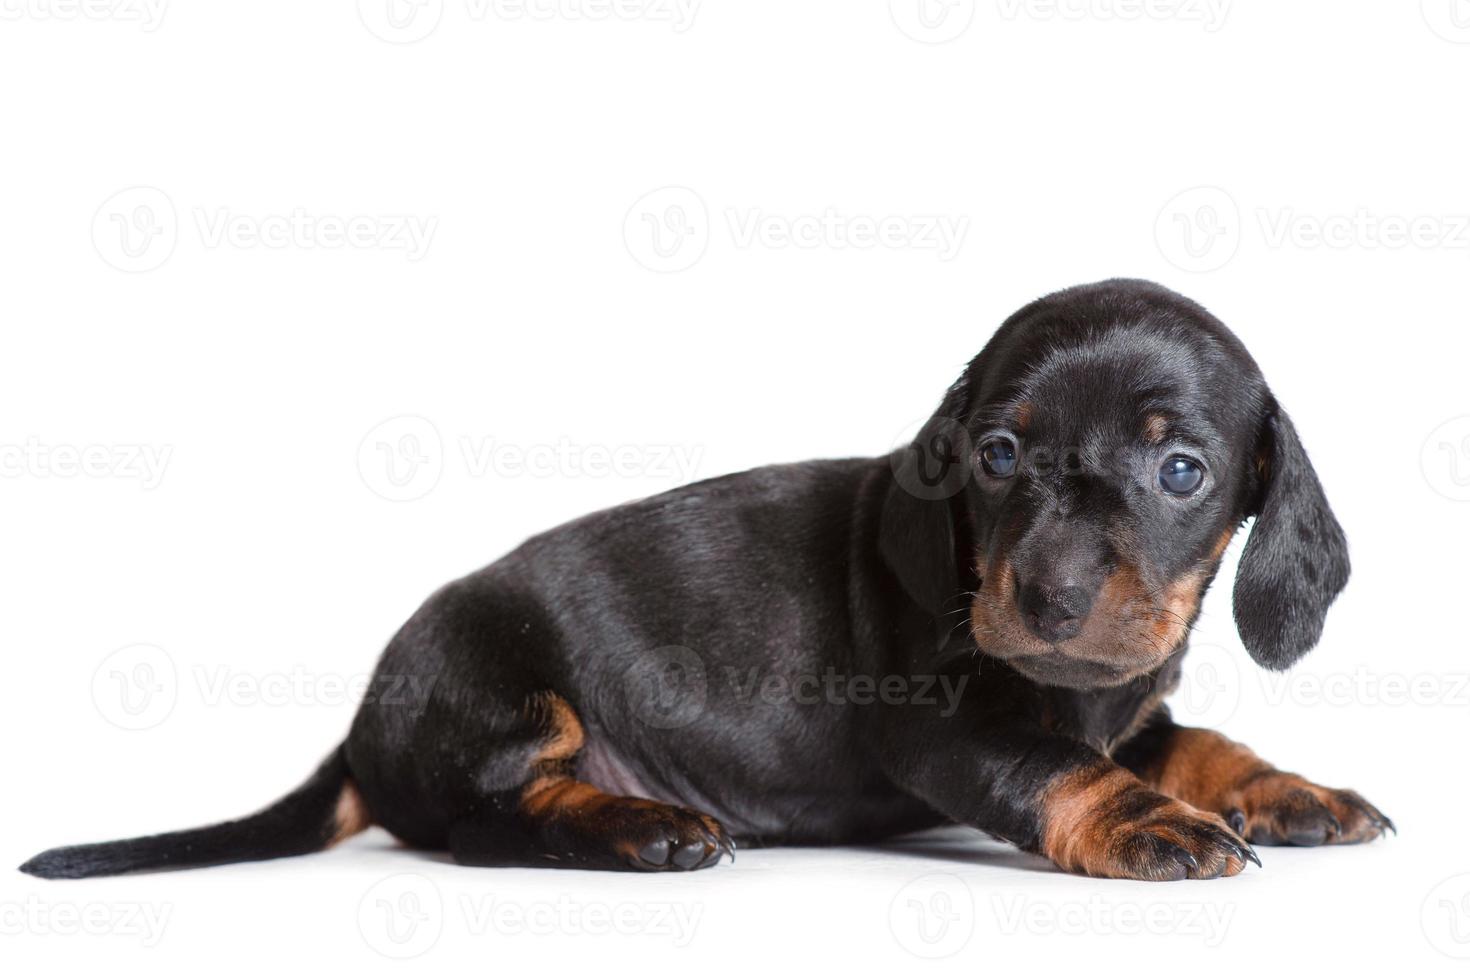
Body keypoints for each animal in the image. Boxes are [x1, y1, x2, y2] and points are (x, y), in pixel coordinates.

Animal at [22, 276, 1387, 881]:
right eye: (997, 453)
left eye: (1180, 468)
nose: (1044, 599)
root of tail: (359, 729)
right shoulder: (948, 728)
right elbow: (1061, 767)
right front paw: (1150, 820)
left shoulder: (1123, 702)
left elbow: (1189, 735)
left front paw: (1285, 789)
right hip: (505, 691)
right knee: (484, 825)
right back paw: (642, 826)